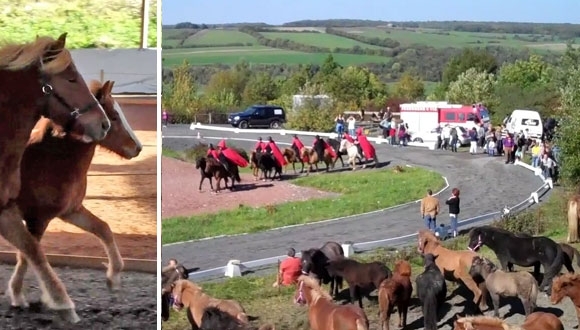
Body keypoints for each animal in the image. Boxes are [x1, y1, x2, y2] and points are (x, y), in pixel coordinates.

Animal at [9, 80, 142, 312]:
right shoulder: (38, 219)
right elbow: (27, 254)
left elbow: (103, 229)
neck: (50, 162)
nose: (138, 148)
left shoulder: (71, 211)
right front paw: (17, 296)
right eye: (114, 116)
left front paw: (113, 277)